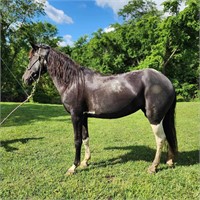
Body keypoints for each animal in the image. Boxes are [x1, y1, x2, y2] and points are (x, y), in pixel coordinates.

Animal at [22, 43, 177, 175]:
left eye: (31, 58)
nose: (25, 79)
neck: (73, 82)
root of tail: (167, 81)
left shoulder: (75, 116)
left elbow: (77, 140)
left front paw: (73, 167)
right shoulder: (83, 116)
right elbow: (85, 138)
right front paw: (85, 162)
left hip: (154, 117)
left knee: (160, 139)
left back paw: (153, 167)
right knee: (168, 137)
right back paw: (169, 161)